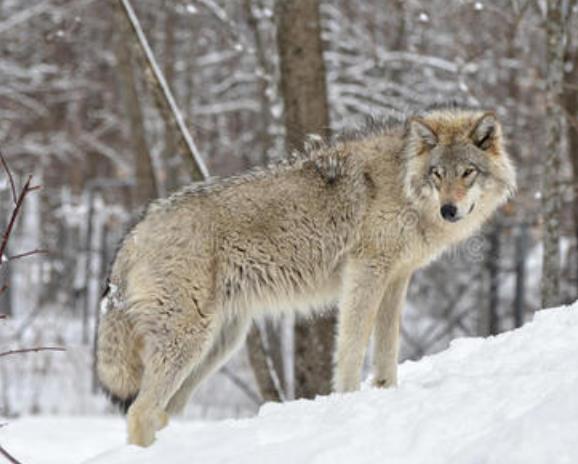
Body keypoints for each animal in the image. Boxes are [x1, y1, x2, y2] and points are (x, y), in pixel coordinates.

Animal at [94, 105, 512, 446]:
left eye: (468, 172)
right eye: (437, 174)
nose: (449, 210)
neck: (405, 184)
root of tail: (134, 233)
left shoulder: (396, 280)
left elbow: (386, 351)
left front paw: (386, 392)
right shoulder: (366, 273)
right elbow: (351, 349)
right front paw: (349, 401)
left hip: (219, 344)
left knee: (160, 412)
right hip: (189, 342)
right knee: (139, 412)